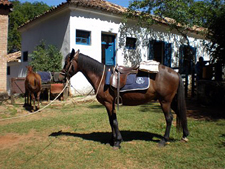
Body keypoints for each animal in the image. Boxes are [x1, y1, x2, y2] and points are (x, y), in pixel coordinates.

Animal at [58, 48, 188, 148]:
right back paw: (185, 136)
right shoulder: (110, 104)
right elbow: (111, 121)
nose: (60, 76)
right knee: (180, 114)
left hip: (165, 101)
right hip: (172, 101)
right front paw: (113, 140)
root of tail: (175, 73)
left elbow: (114, 121)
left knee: (169, 118)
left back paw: (164, 140)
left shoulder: (108, 103)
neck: (101, 76)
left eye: (67, 62)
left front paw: (117, 142)